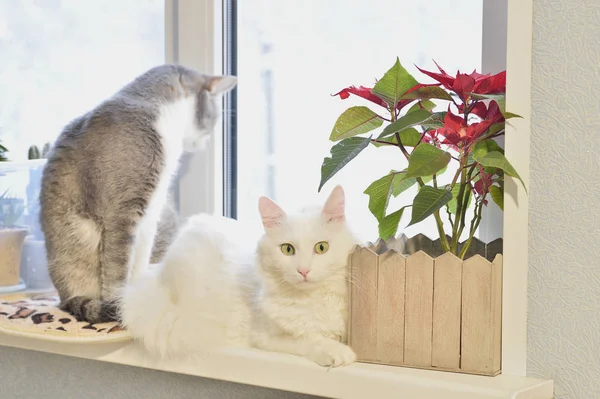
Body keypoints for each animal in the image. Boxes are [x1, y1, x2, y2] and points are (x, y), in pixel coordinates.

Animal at [39, 64, 237, 324]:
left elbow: (139, 258)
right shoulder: (122, 211)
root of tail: (63, 297)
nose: (205, 143)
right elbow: (118, 266)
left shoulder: (150, 214)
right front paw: (120, 306)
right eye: (214, 118)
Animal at [119, 186, 358, 368]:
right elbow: (309, 339)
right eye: (287, 249)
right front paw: (337, 351)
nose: (304, 271)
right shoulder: (265, 338)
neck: (311, 299)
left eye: (321, 247)